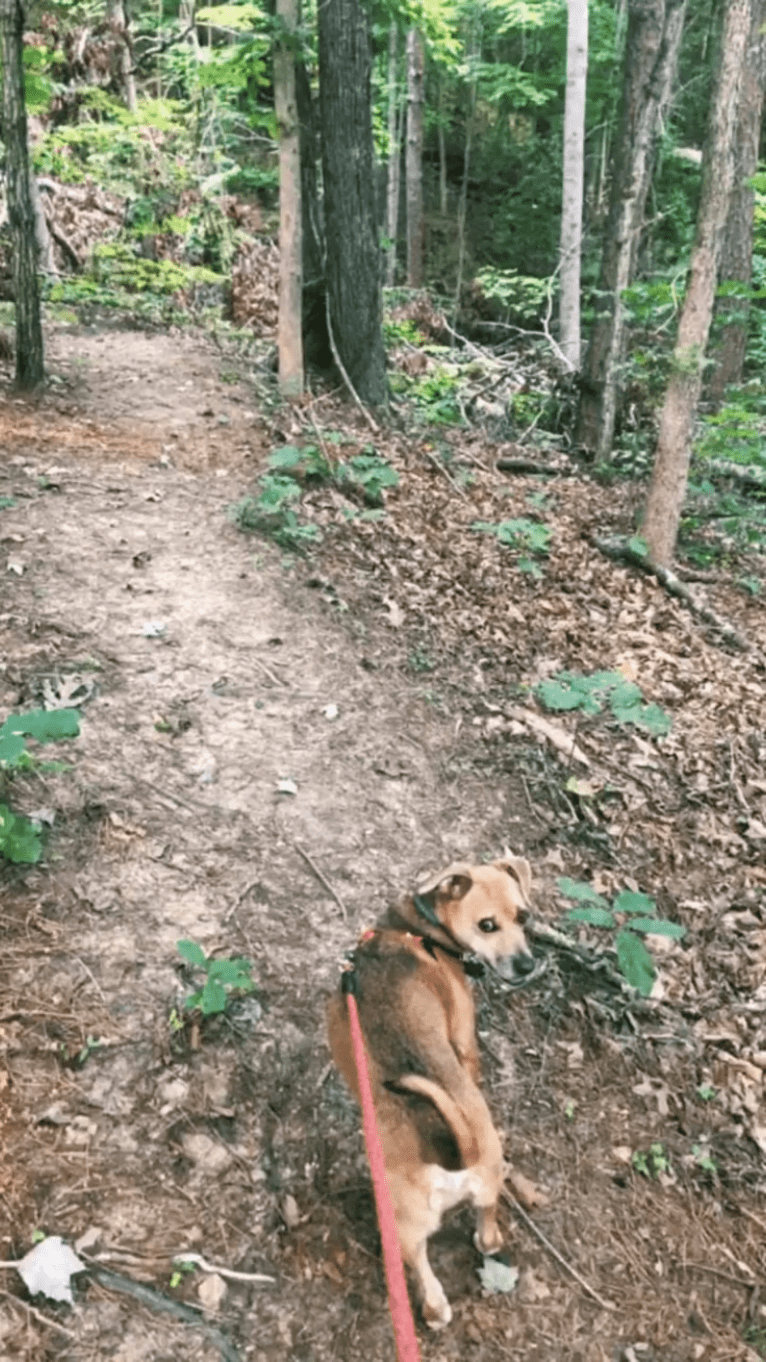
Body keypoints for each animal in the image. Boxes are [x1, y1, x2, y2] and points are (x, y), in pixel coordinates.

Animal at [324, 855, 534, 1323]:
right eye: (487, 925)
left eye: (524, 917)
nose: (527, 967)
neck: (413, 928)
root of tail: (454, 1153)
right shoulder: (465, 1043)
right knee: (482, 1239)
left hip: (407, 1225)